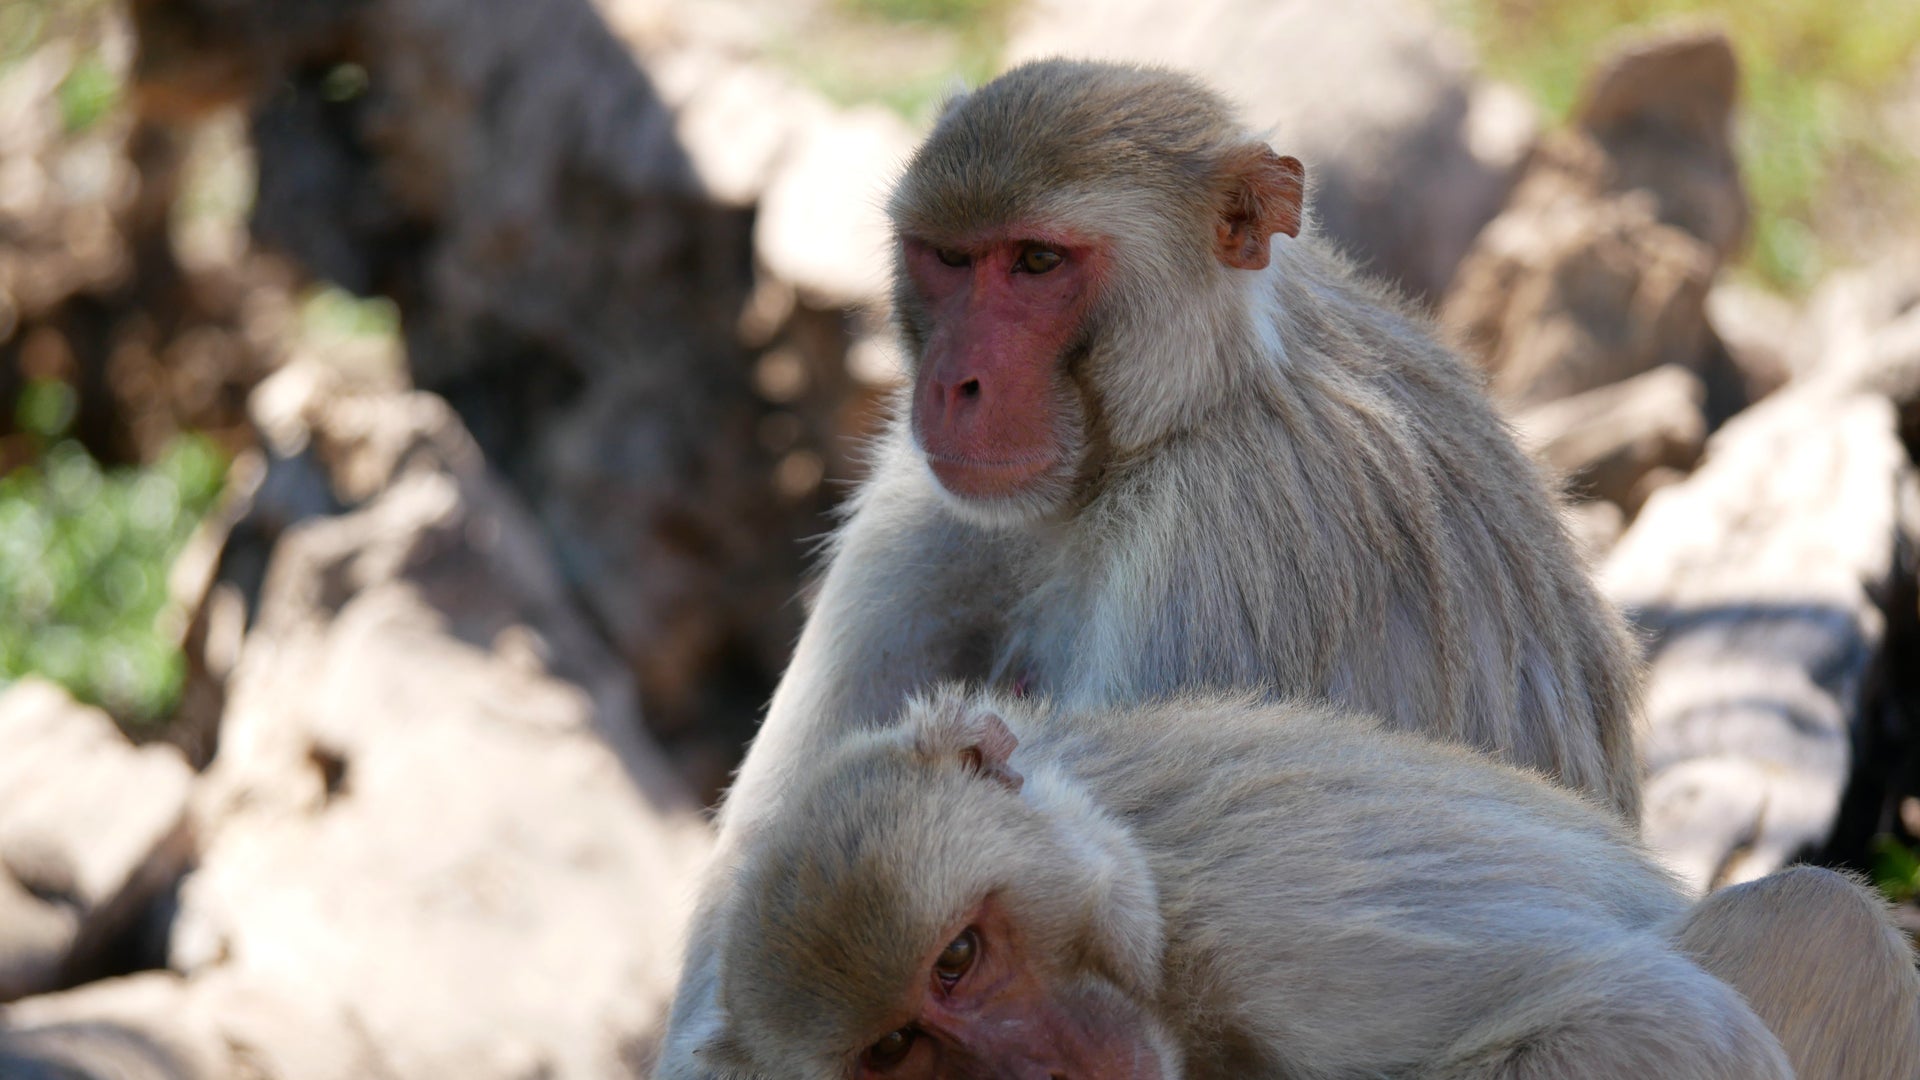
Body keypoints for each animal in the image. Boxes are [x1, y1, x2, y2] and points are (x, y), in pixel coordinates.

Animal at [656, 58, 1635, 1068]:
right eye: (950, 260)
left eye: (1037, 263)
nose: (953, 385)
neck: (1185, 411)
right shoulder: (920, 498)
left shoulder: (1231, 535)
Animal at [706, 687, 1920, 1076]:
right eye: (894, 1050)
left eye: (957, 957)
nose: (1035, 1073)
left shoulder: (1285, 935)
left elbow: (1653, 1027)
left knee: (1822, 925)